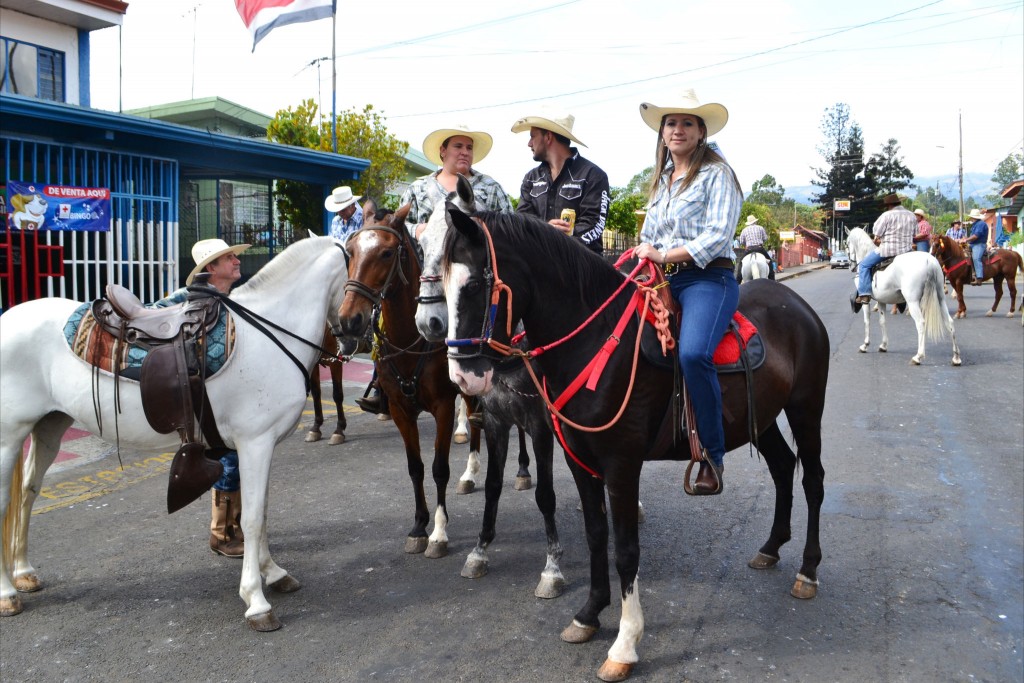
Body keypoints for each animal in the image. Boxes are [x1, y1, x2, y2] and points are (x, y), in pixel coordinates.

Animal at [1, 236, 348, 630]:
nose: (356, 333)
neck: (269, 332)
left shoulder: (259, 446)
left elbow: (261, 513)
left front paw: (272, 573)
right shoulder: (255, 443)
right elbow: (253, 517)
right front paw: (256, 600)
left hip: (49, 424)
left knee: (28, 492)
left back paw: (24, 573)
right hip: (9, 436)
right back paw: (7, 594)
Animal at [440, 209, 831, 683]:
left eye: (475, 286)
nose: (462, 378)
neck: (596, 341)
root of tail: (797, 305)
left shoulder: (621, 464)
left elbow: (626, 551)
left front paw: (625, 643)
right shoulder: (580, 460)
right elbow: (595, 534)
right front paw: (589, 613)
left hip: (806, 408)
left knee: (812, 480)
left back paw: (808, 570)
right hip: (763, 419)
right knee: (782, 467)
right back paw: (771, 547)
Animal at [843, 228, 962, 368]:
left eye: (846, 244)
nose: (851, 267)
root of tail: (929, 261)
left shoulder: (865, 300)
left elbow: (867, 321)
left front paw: (865, 345)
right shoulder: (881, 300)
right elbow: (882, 321)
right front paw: (883, 345)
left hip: (913, 302)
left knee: (921, 323)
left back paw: (918, 357)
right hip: (940, 298)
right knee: (949, 323)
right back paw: (956, 357)